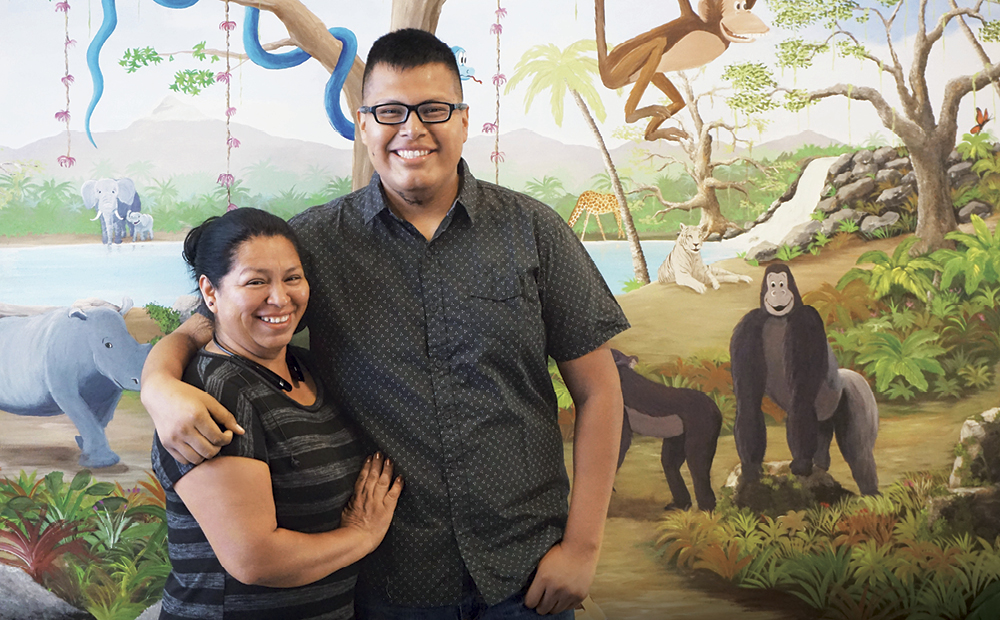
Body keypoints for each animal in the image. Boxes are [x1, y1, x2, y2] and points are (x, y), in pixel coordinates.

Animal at [0, 298, 150, 468]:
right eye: (108, 345)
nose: (139, 381)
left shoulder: (110, 383)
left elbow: (101, 418)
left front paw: (82, 444)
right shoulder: (63, 383)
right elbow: (84, 416)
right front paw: (102, 462)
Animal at [596, 0, 768, 141]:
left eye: (746, 7)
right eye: (739, 7)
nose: (749, 14)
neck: (712, 30)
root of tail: (605, 68)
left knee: (675, 96)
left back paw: (651, 134)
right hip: (619, 73)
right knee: (659, 42)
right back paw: (632, 116)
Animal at [612, 346, 724, 512]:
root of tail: (717, 411)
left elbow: (621, 443)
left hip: (701, 431)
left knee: (698, 467)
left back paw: (706, 509)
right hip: (678, 436)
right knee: (670, 463)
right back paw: (681, 505)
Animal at [728, 266, 884, 494]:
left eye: (782, 284)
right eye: (772, 285)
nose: (777, 292)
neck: (778, 318)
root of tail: (850, 375)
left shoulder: (807, 319)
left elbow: (801, 397)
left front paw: (801, 464)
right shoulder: (747, 326)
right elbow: (748, 402)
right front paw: (750, 467)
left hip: (859, 396)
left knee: (859, 456)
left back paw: (871, 494)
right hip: (824, 419)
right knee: (824, 438)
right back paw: (821, 466)